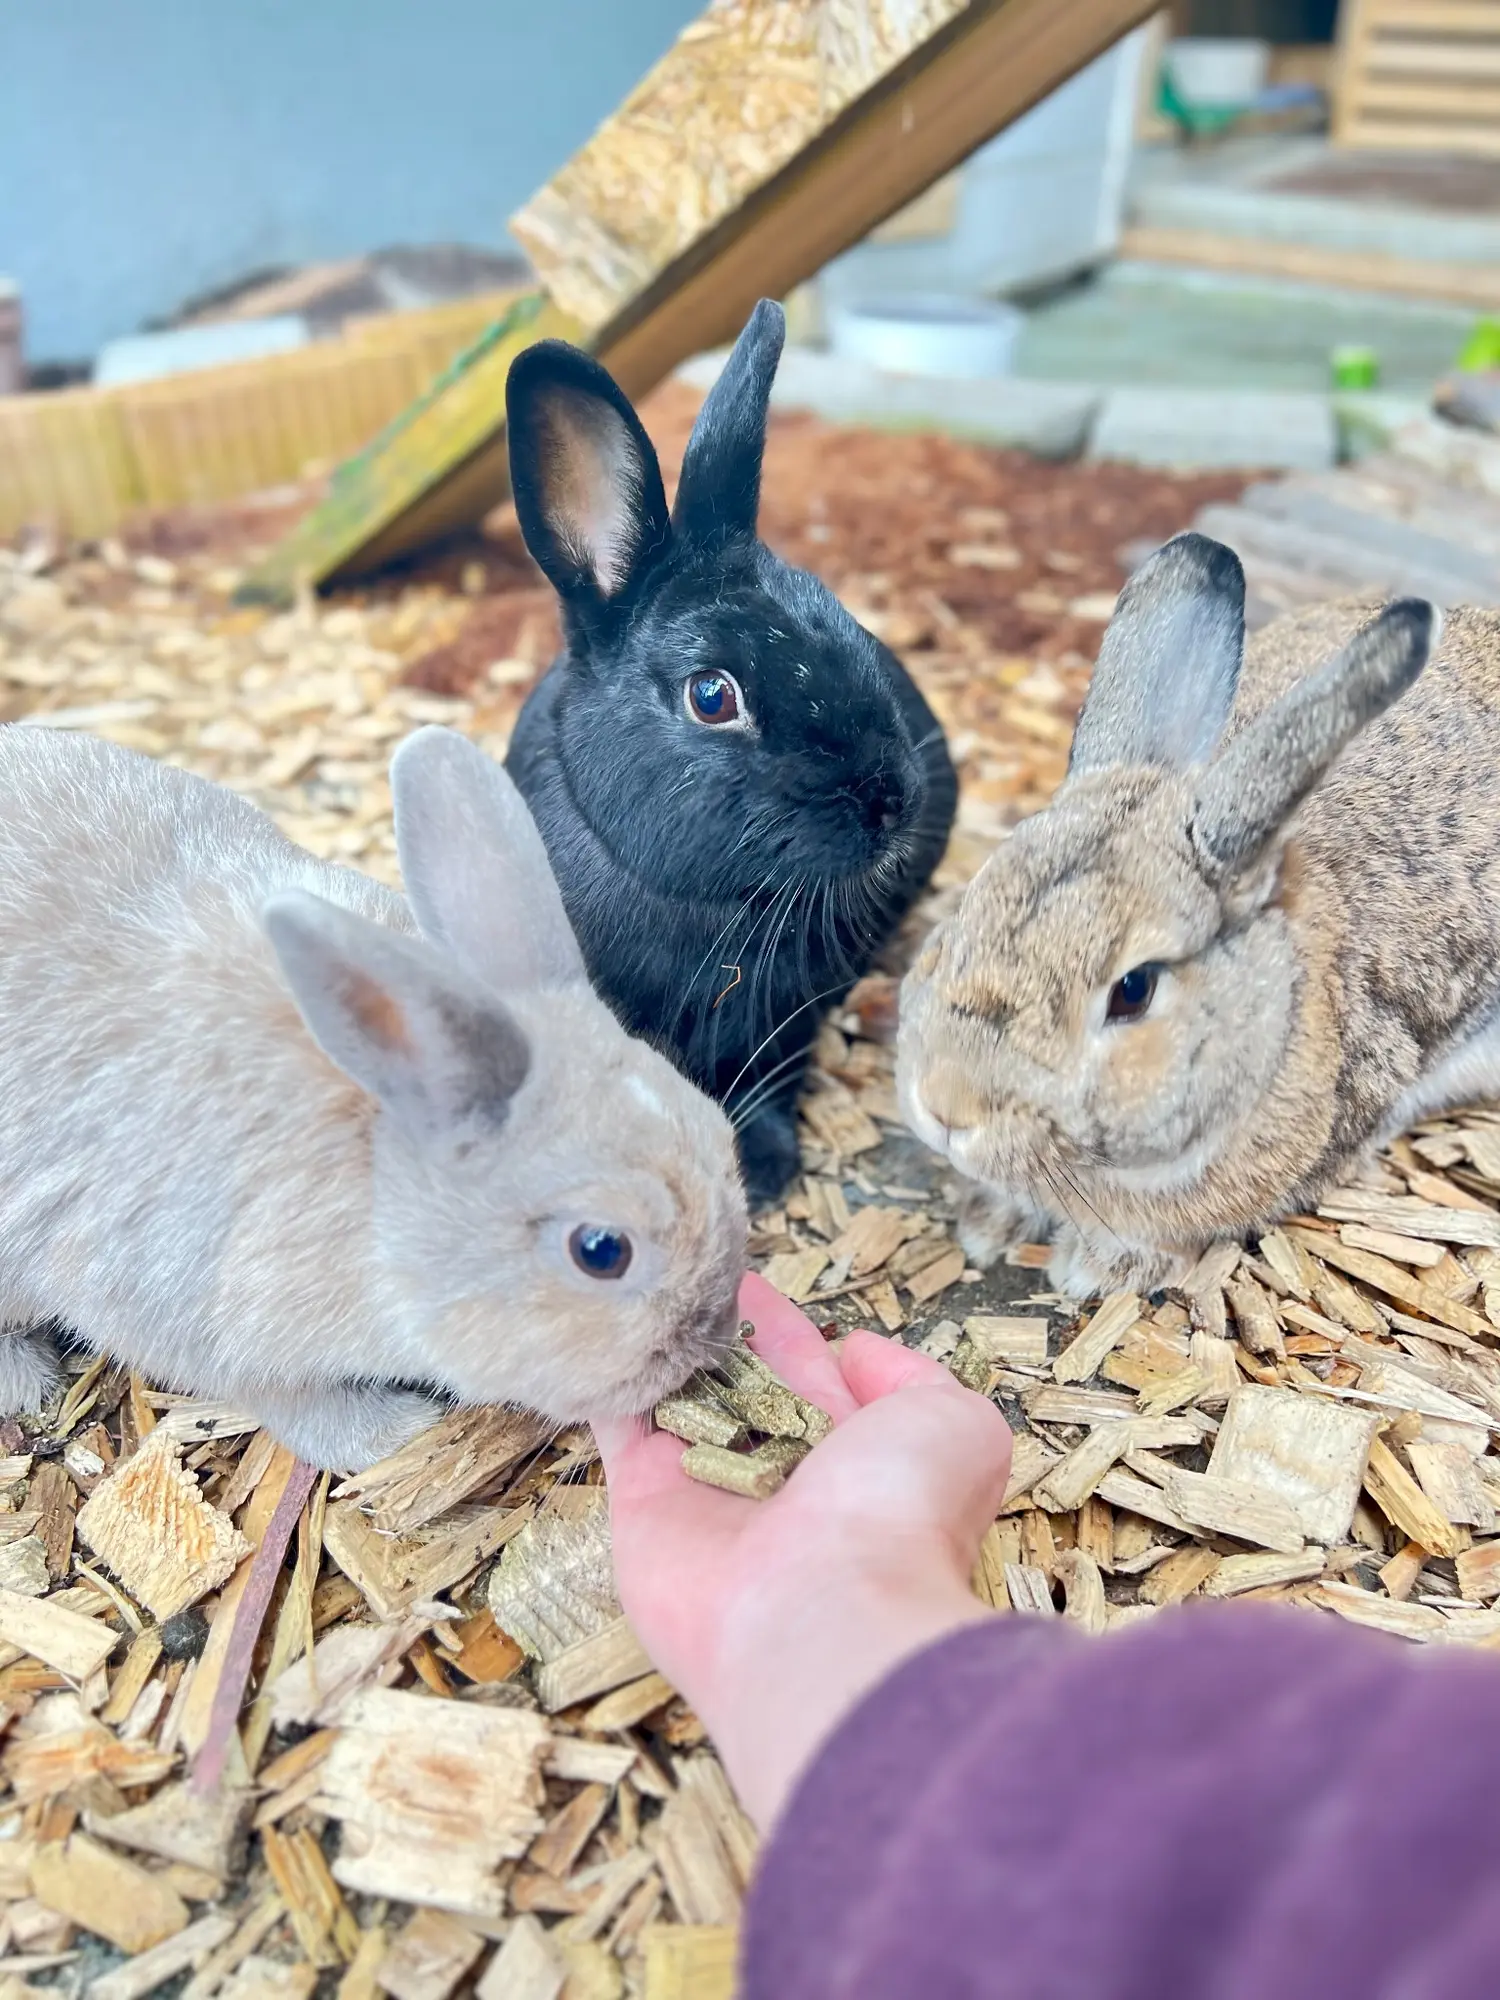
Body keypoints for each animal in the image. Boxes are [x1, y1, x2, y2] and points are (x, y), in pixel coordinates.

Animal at [0, 722, 746, 1469]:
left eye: (721, 1135)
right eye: (600, 1250)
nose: (716, 1331)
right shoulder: (204, 1327)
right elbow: (302, 1410)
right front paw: (403, 1431)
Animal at [503, 298, 957, 1208]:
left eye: (846, 621)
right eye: (712, 696)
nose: (893, 800)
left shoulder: (784, 1015)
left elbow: (767, 1081)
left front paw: (764, 1168)